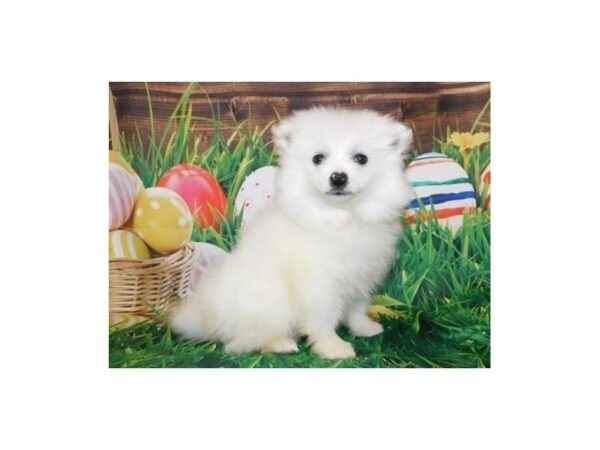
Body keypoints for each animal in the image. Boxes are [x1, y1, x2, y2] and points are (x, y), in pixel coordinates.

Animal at [169, 107, 412, 360]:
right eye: (318, 158)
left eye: (361, 158)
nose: (338, 177)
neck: (339, 217)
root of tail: (208, 321)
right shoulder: (319, 285)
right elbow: (323, 320)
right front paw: (332, 347)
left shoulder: (362, 275)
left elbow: (357, 307)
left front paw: (364, 328)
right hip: (269, 308)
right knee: (238, 345)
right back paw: (279, 344)